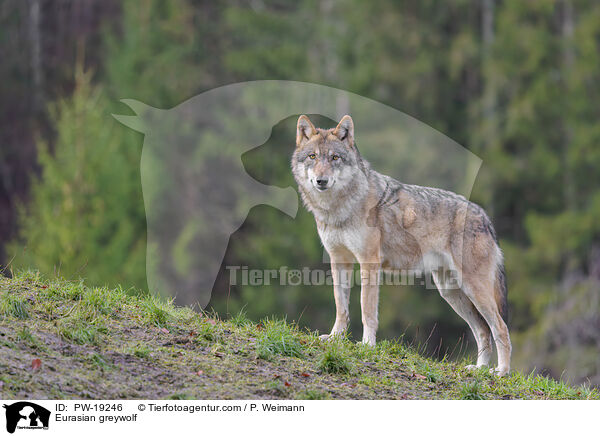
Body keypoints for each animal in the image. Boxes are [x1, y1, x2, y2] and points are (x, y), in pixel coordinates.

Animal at [290, 115, 510, 374]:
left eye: (335, 158)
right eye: (312, 157)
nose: (321, 180)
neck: (339, 208)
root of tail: (483, 215)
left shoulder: (369, 262)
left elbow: (366, 309)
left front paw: (367, 345)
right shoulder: (339, 260)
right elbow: (341, 306)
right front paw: (335, 338)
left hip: (473, 289)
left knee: (500, 328)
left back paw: (501, 372)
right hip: (451, 292)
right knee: (483, 331)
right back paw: (479, 369)